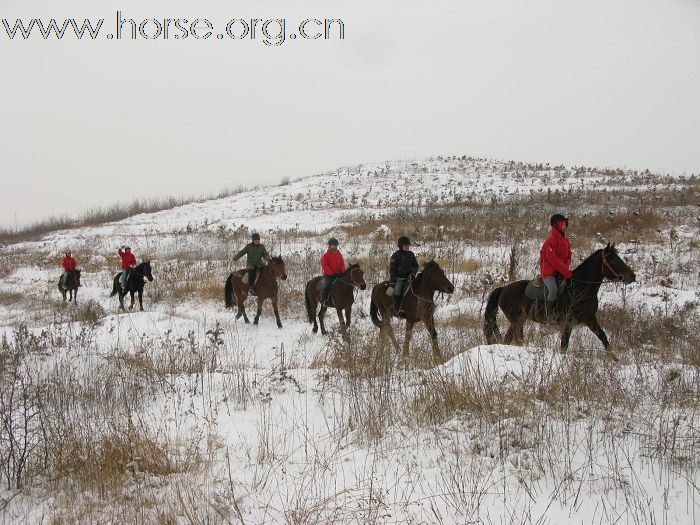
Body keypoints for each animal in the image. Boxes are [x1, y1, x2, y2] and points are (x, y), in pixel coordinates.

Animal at [484, 243, 636, 352]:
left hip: (519, 320)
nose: (632, 276)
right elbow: (564, 345)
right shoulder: (568, 322)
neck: (580, 289)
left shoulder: (590, 318)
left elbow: (603, 337)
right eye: (614, 260)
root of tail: (503, 289)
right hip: (517, 320)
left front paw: (614, 358)